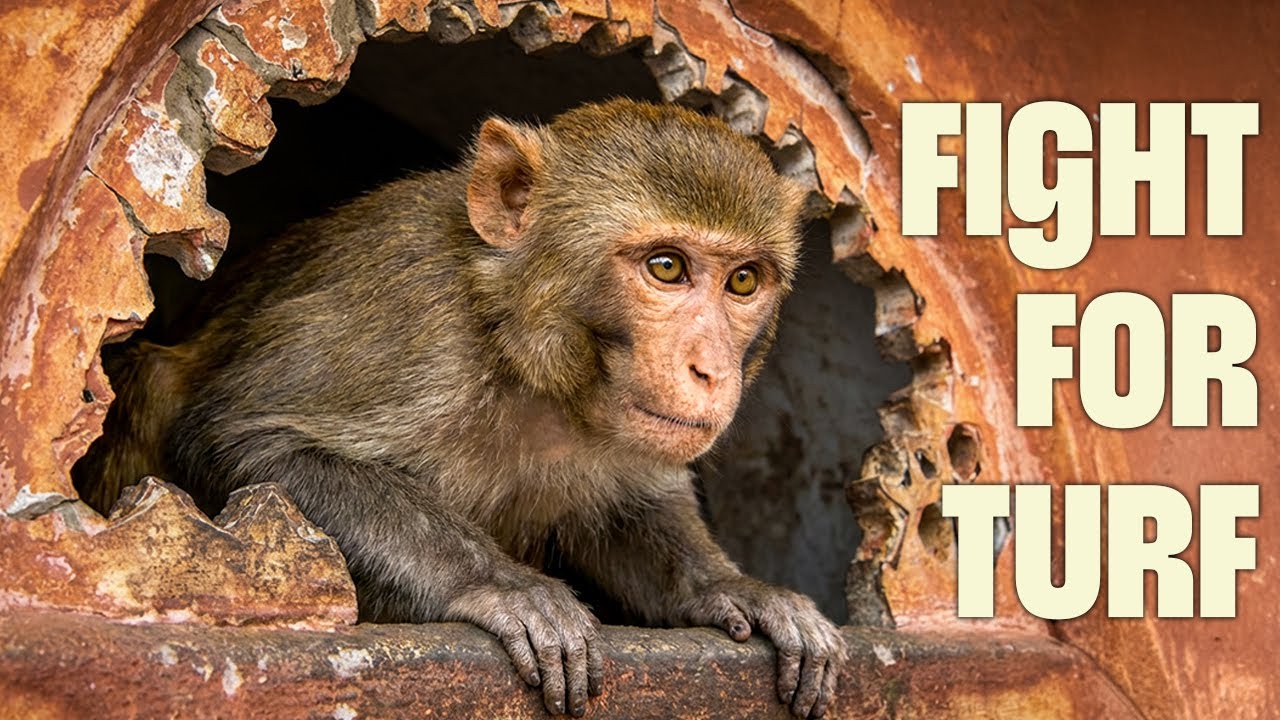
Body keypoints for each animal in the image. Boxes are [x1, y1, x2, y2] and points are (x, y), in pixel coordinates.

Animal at [77, 98, 847, 718]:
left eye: (743, 281)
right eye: (667, 267)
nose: (710, 370)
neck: (528, 363)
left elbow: (629, 513)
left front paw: (734, 587)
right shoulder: (415, 324)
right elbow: (243, 439)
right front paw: (501, 584)